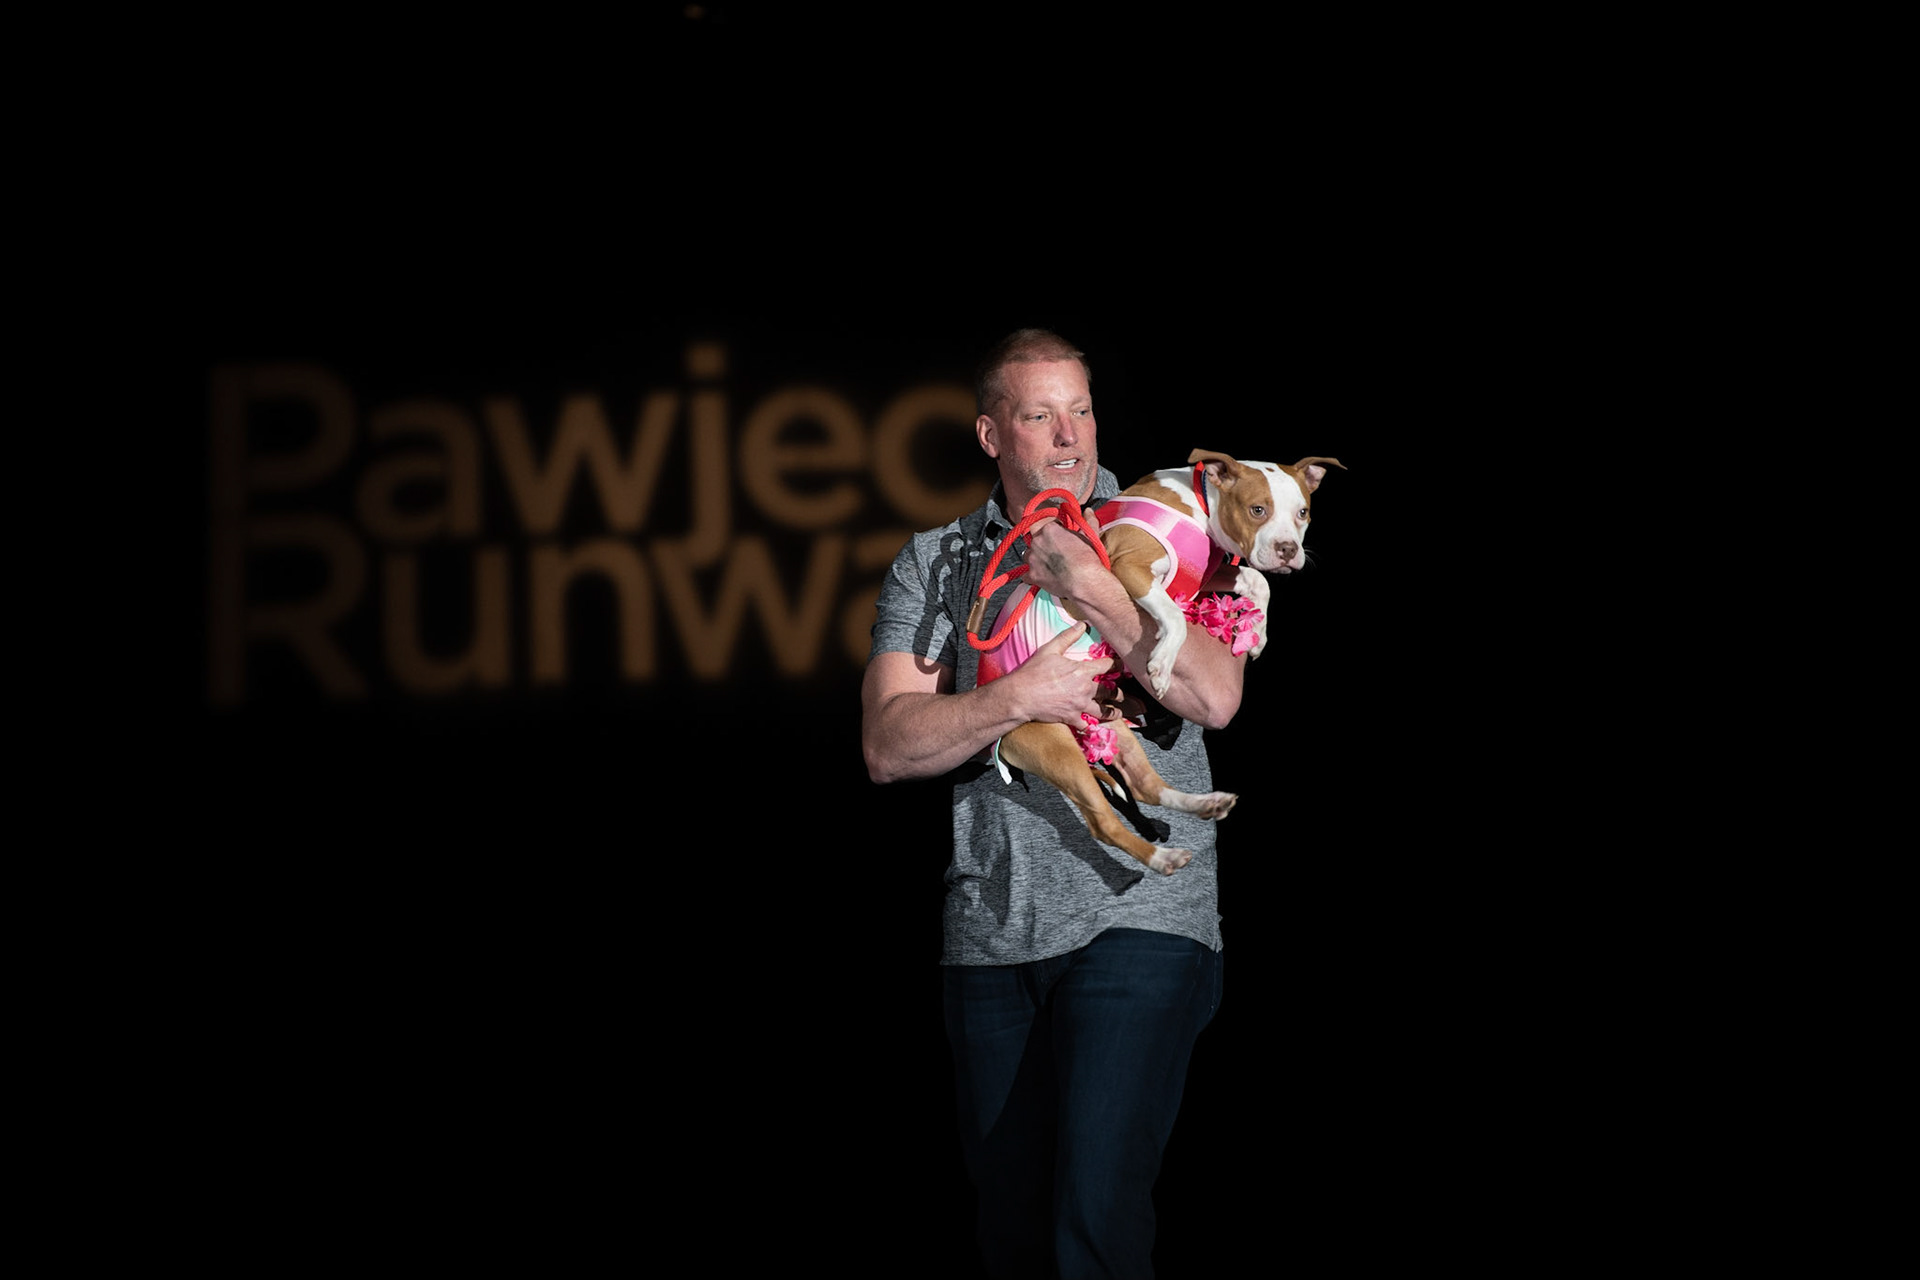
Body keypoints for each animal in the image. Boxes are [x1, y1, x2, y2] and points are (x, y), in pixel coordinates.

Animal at [972, 450, 1344, 876]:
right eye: (1257, 510)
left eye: (1303, 512)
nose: (1287, 550)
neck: (1197, 503)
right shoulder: (1128, 567)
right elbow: (1177, 618)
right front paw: (1163, 664)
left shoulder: (1208, 572)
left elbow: (1257, 581)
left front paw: (1259, 633)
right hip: (1055, 746)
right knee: (1103, 822)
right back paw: (1161, 858)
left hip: (1113, 728)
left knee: (1146, 788)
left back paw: (1203, 804)